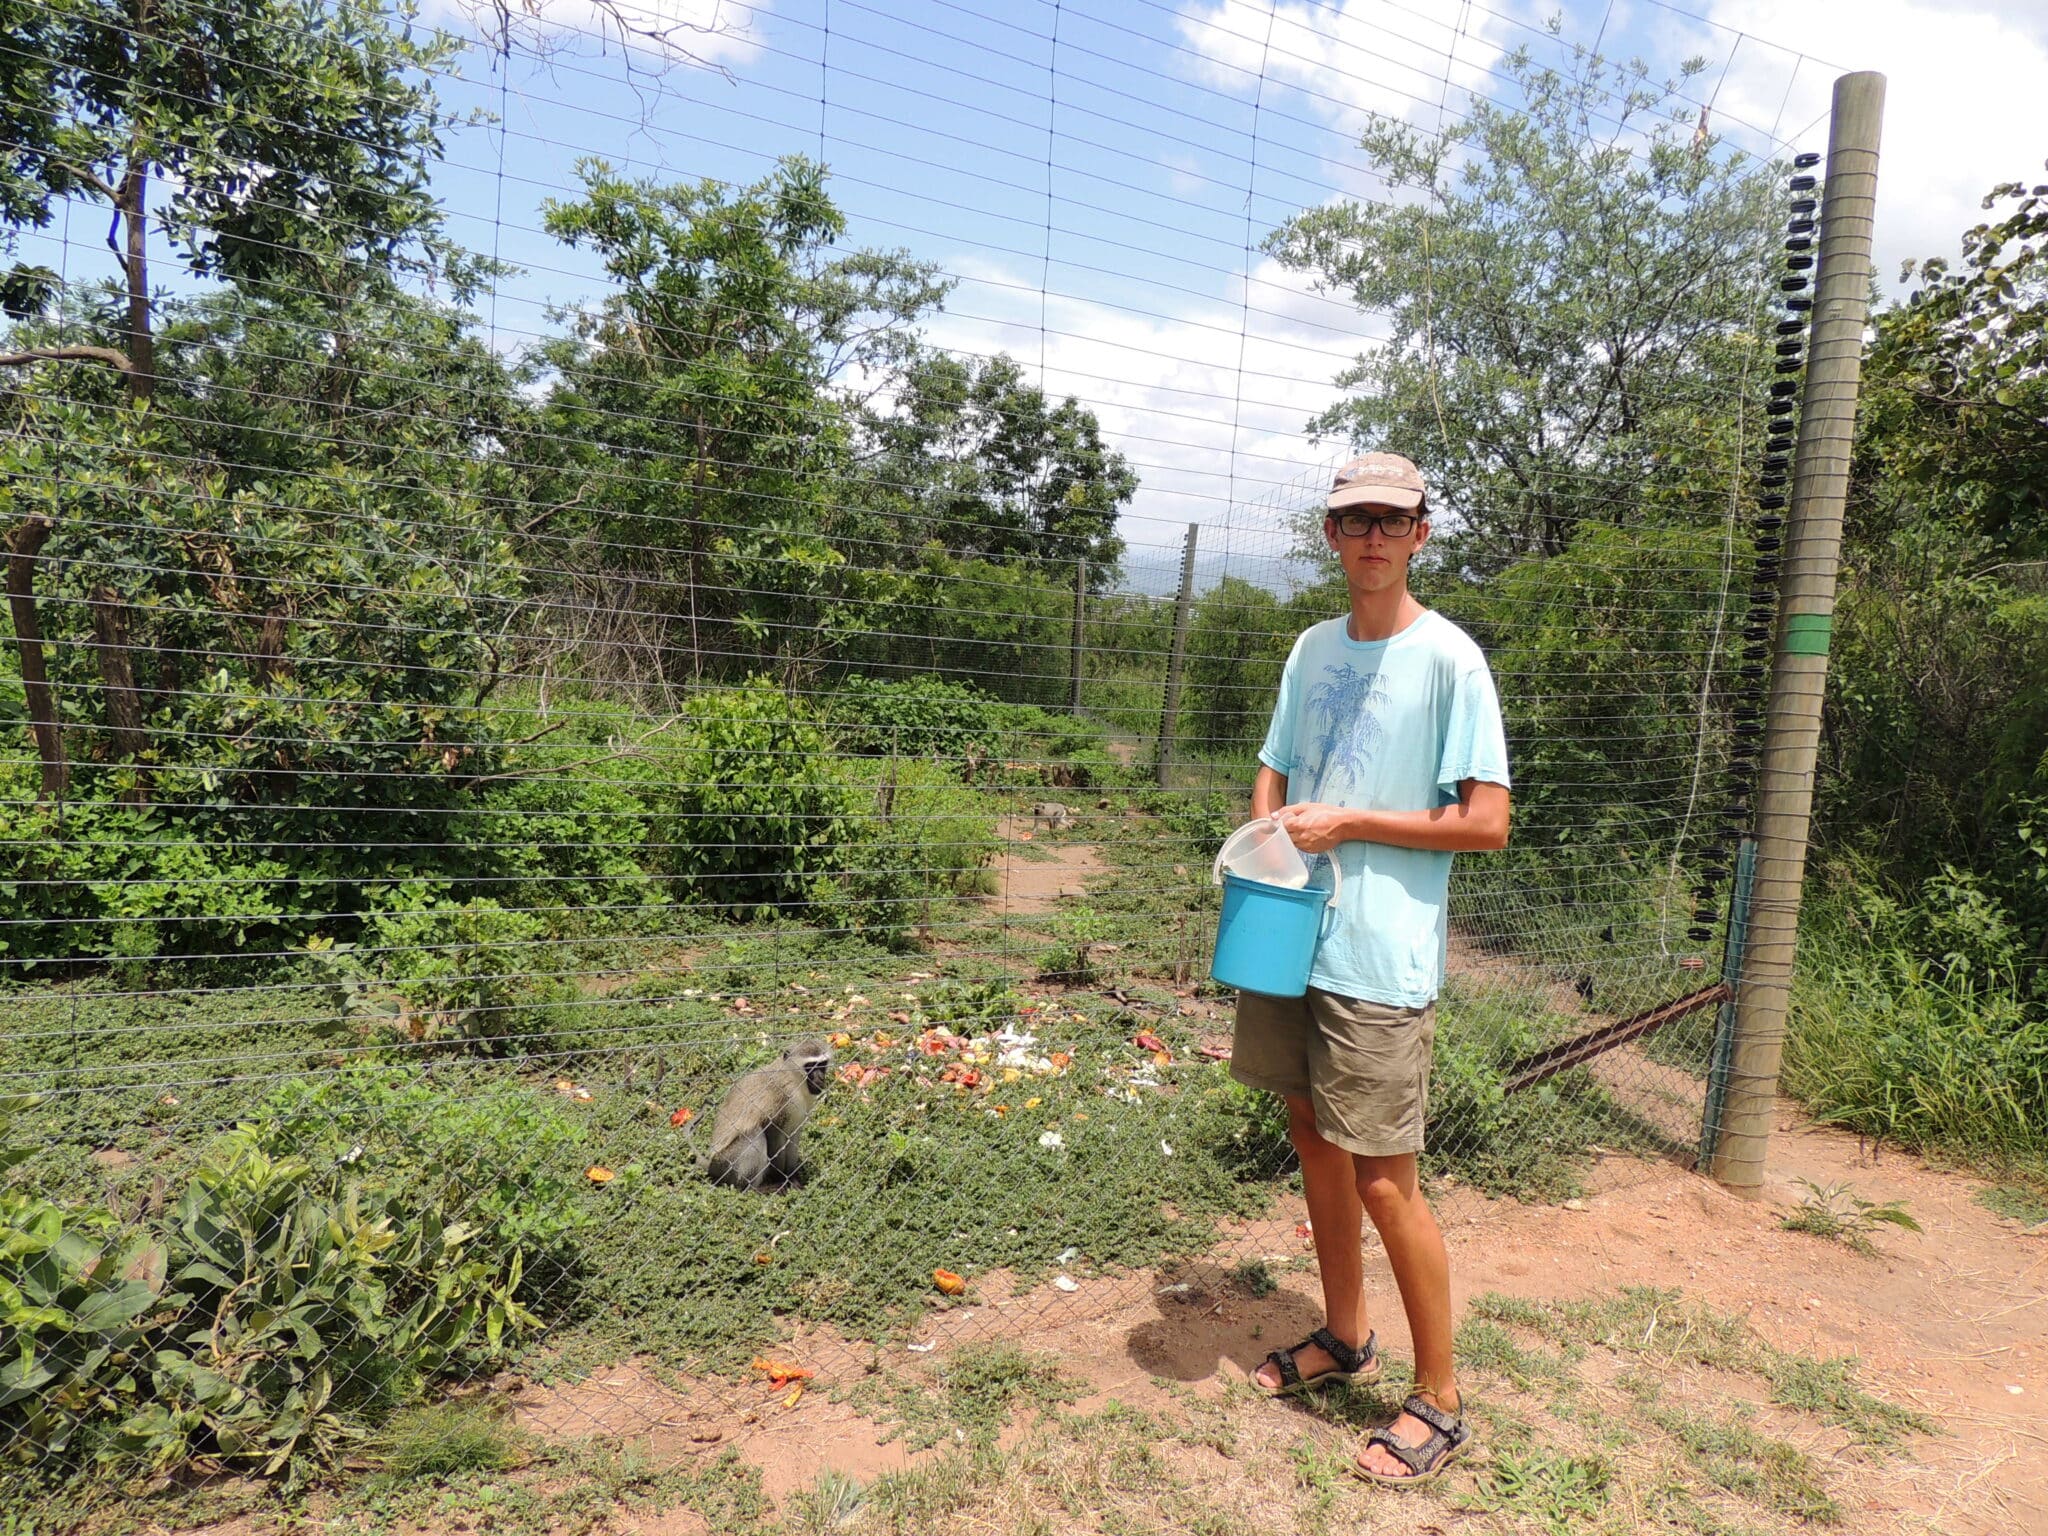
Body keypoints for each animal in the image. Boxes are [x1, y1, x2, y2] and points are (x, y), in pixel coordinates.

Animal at [704, 1040, 831, 1196]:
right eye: (810, 1066)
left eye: (822, 1064)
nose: (821, 1078)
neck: (793, 1081)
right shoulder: (780, 1100)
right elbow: (772, 1132)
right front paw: (781, 1179)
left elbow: (793, 1136)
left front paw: (792, 1178)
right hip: (724, 1164)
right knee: (754, 1135)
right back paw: (752, 1189)